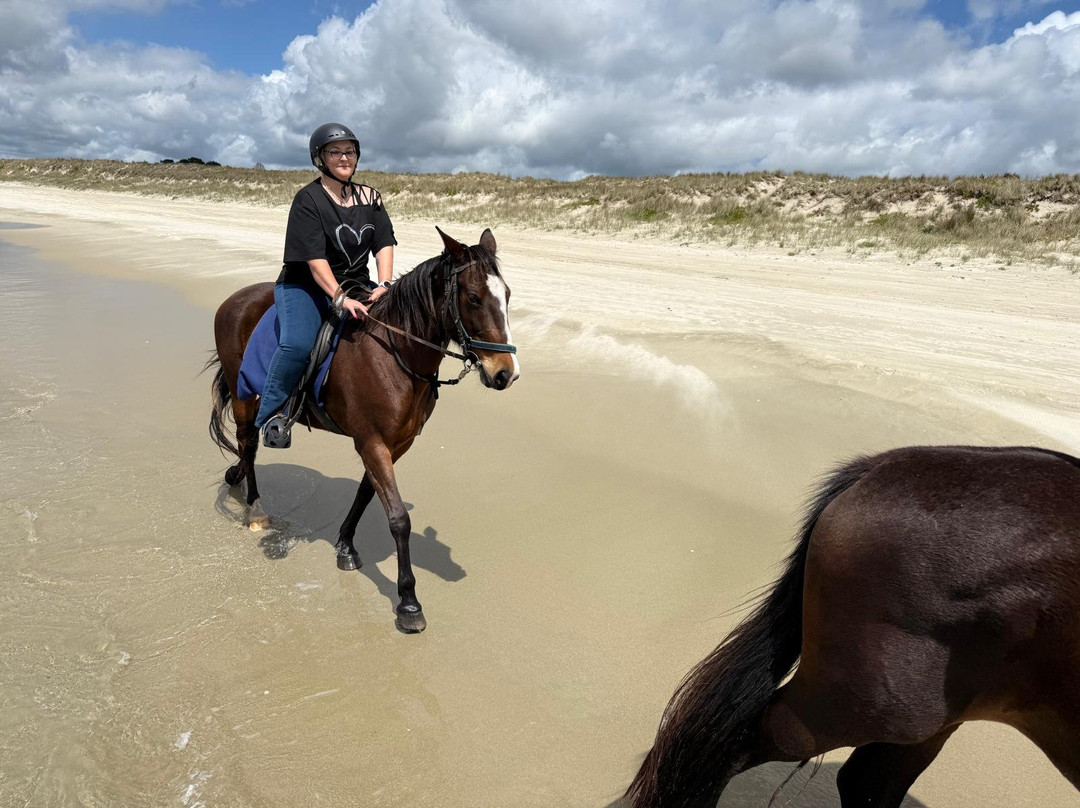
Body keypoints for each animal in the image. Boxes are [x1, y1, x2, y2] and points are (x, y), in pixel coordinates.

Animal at [206, 227, 519, 633]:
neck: (396, 353)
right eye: (473, 297)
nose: (505, 373)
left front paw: (345, 546)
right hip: (242, 390)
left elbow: (367, 493)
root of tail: (233, 299)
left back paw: (235, 477)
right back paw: (256, 509)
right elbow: (398, 518)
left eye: (506, 295)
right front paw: (408, 602)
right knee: (248, 443)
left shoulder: (395, 443)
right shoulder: (371, 442)